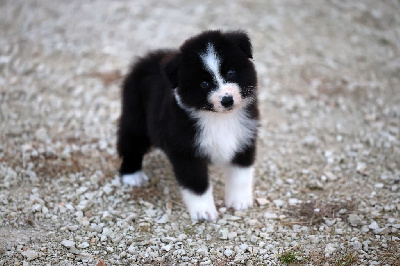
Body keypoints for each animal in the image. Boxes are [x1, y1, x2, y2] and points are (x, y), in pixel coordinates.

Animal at [117, 29, 260, 221]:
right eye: (204, 84)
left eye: (230, 73)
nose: (227, 100)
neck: (218, 118)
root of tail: (147, 60)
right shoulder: (186, 149)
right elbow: (196, 183)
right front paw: (203, 212)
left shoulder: (245, 137)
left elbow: (241, 175)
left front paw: (239, 201)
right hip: (136, 118)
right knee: (130, 142)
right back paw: (132, 175)